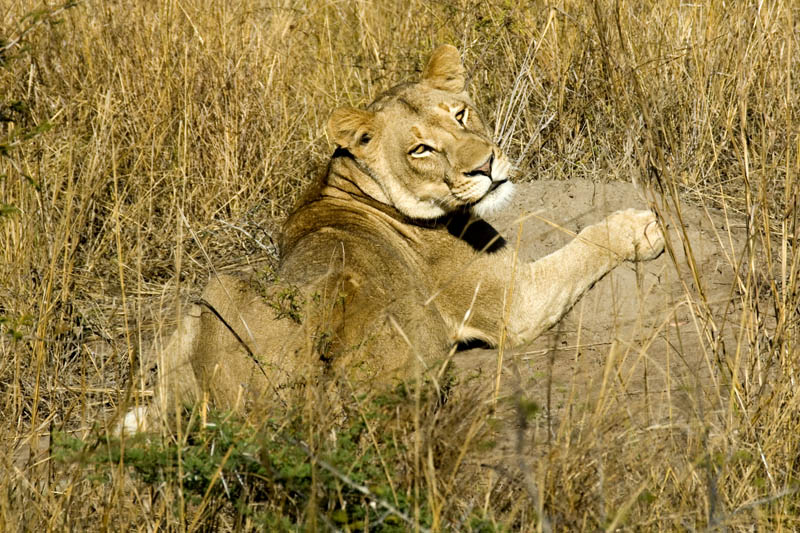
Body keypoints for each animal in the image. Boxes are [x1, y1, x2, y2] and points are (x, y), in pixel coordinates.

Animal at [123, 45, 664, 432]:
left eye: (460, 114)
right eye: (421, 149)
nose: (486, 166)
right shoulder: (515, 305)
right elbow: (583, 245)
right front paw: (641, 228)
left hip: (213, 292)